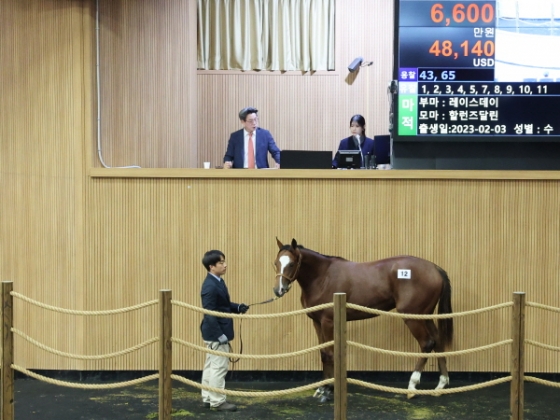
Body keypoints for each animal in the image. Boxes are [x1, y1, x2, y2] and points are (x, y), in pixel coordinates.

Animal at [274, 238, 452, 402]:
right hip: (426, 316)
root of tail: (435, 268)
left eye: (291, 264)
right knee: (438, 341)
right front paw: (321, 389)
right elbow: (323, 354)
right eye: (276, 263)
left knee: (426, 343)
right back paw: (440, 385)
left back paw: (412, 386)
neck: (323, 276)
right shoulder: (317, 322)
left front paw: (328, 390)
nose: (278, 290)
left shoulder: (327, 322)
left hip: (413, 317)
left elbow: (330, 354)